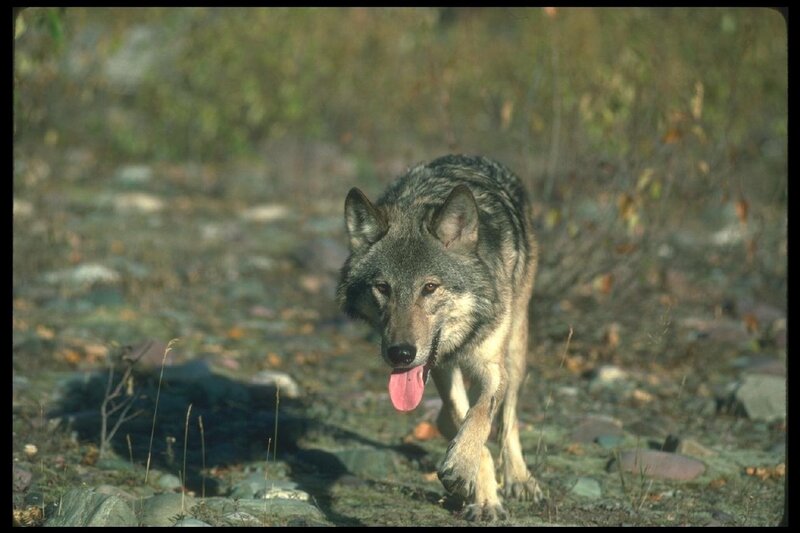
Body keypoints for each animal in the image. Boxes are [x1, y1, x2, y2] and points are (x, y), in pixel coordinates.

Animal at [337, 154, 543, 521]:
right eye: (383, 288)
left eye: (429, 287)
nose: (400, 354)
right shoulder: (442, 368)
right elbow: (466, 417)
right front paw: (483, 496)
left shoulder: (491, 366)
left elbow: (481, 414)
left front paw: (461, 465)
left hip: (516, 349)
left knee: (509, 417)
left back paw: (519, 478)